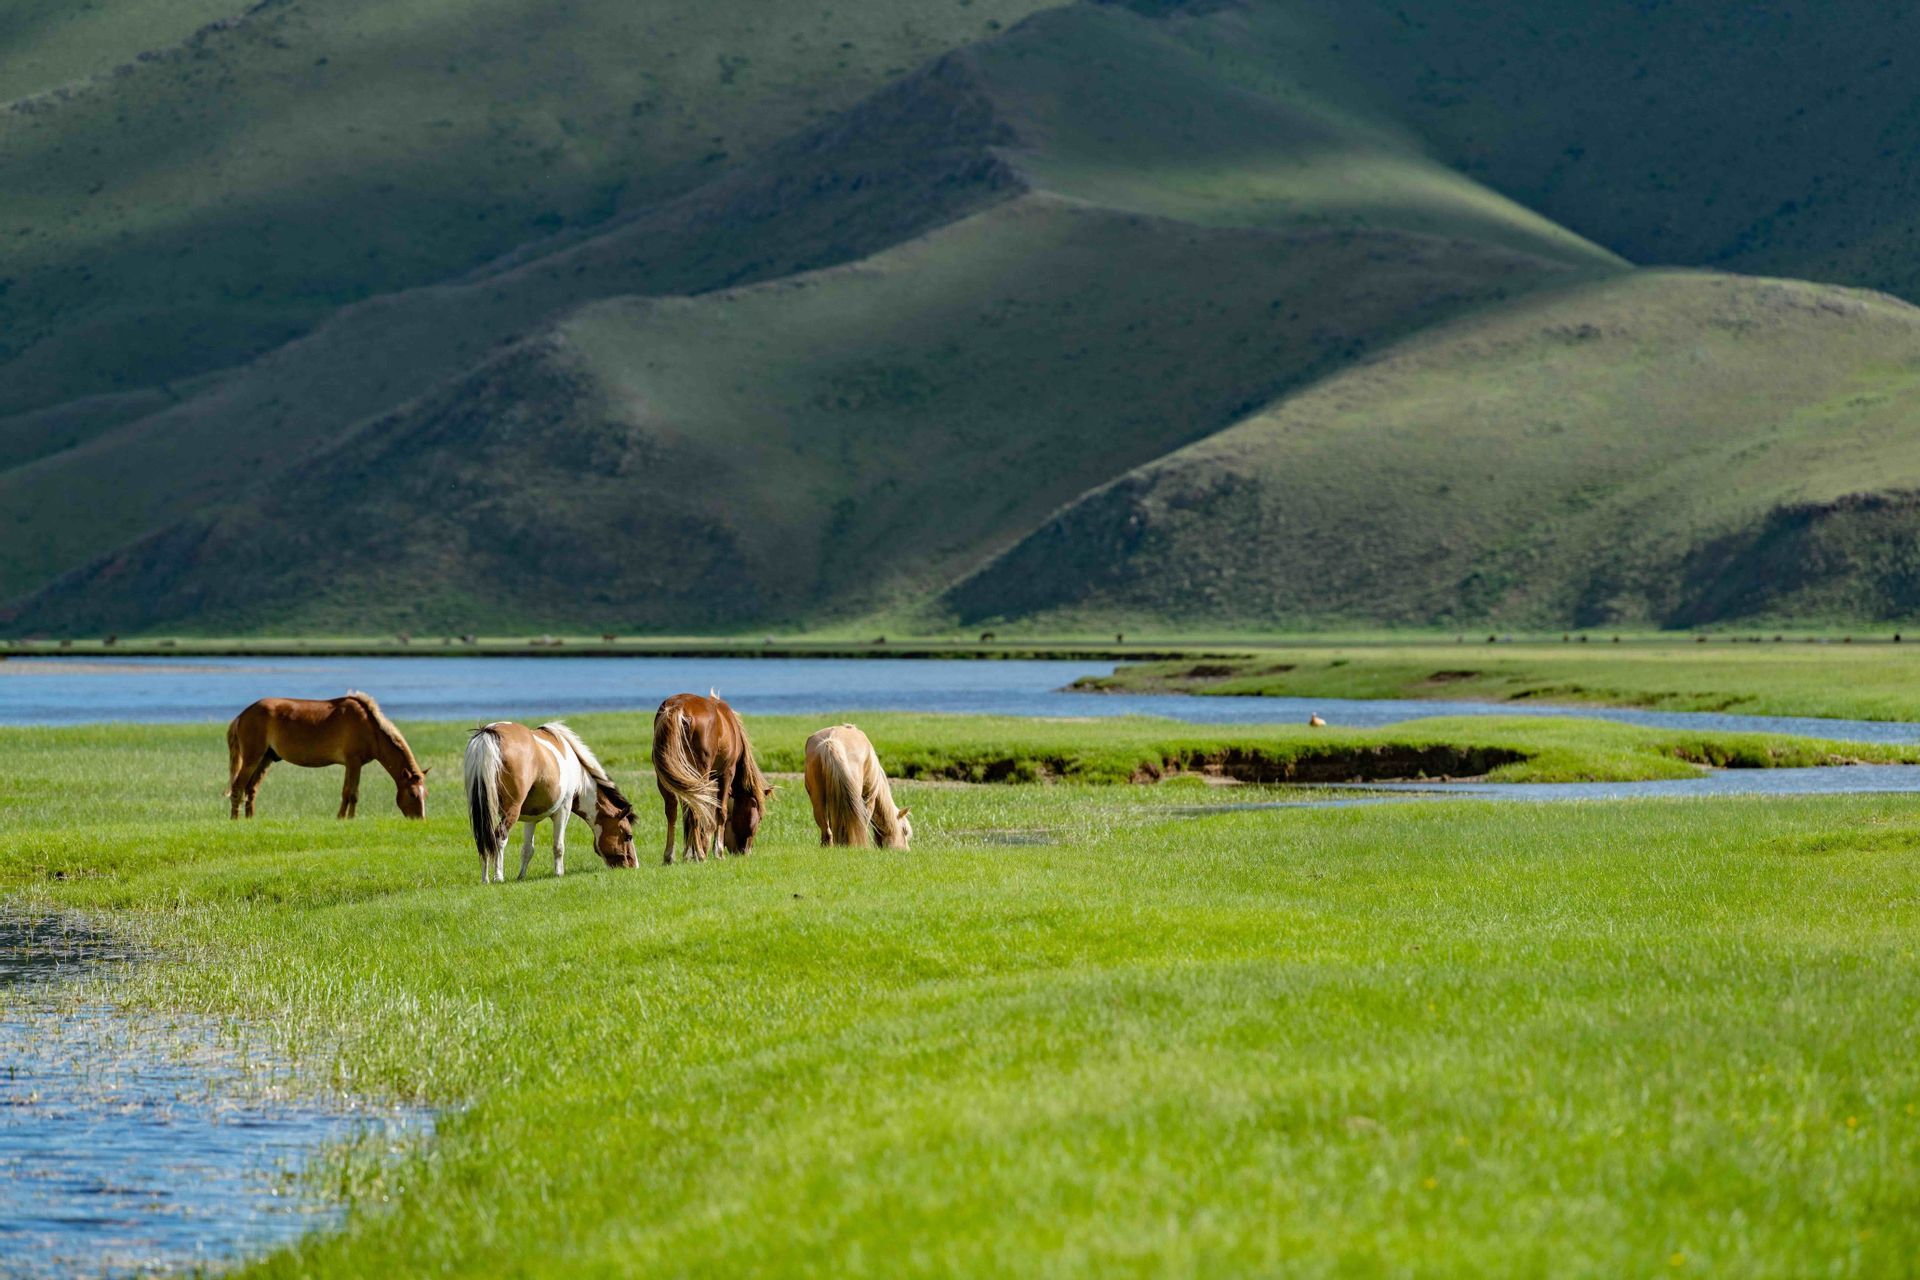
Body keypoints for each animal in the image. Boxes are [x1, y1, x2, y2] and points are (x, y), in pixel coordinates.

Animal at [225, 691, 429, 819]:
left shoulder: (353, 764)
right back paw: (235, 820)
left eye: (425, 794)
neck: (370, 727)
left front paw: (347, 818)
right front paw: (344, 818)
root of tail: (242, 715)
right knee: (238, 787)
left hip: (266, 758)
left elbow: (350, 792)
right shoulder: (353, 761)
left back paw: (251, 819)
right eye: (412, 794)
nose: (420, 819)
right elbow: (350, 793)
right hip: (252, 758)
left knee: (251, 788)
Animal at [463, 721, 636, 883]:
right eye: (628, 836)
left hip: (482, 811)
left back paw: (485, 879)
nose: (633, 866)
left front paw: (521, 876)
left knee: (484, 839)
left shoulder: (531, 818)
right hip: (512, 810)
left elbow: (527, 849)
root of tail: (489, 732)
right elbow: (558, 846)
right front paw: (559, 873)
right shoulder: (563, 810)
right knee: (500, 836)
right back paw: (498, 877)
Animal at [650, 692, 772, 863]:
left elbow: (688, 814)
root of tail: (679, 707)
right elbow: (721, 811)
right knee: (696, 809)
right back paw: (701, 855)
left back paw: (669, 856)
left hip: (669, 777)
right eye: (759, 817)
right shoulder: (726, 773)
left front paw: (688, 853)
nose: (746, 851)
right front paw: (716, 851)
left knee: (672, 810)